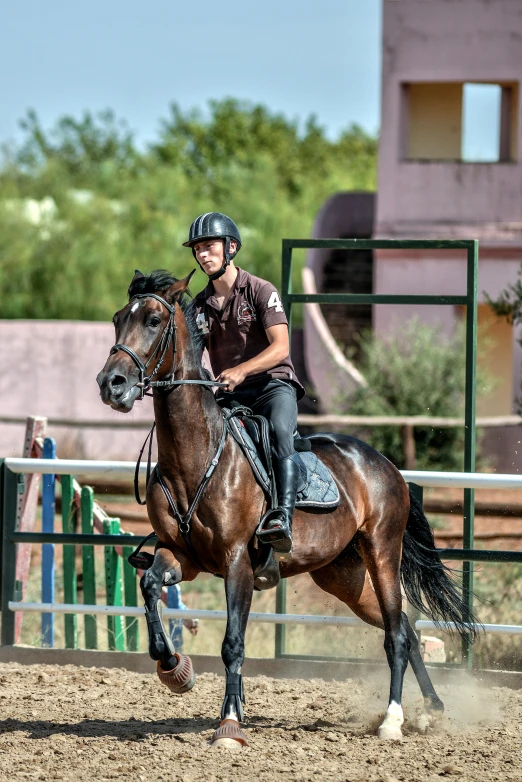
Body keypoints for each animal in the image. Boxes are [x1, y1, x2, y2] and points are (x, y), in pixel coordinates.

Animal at [96, 272, 476, 752]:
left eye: (152, 320)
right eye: (116, 319)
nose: (111, 383)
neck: (196, 456)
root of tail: (385, 465)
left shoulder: (237, 562)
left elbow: (233, 644)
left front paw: (230, 724)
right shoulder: (179, 555)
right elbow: (148, 588)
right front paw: (175, 670)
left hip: (382, 554)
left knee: (395, 632)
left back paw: (392, 720)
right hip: (343, 577)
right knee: (406, 628)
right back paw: (431, 710)